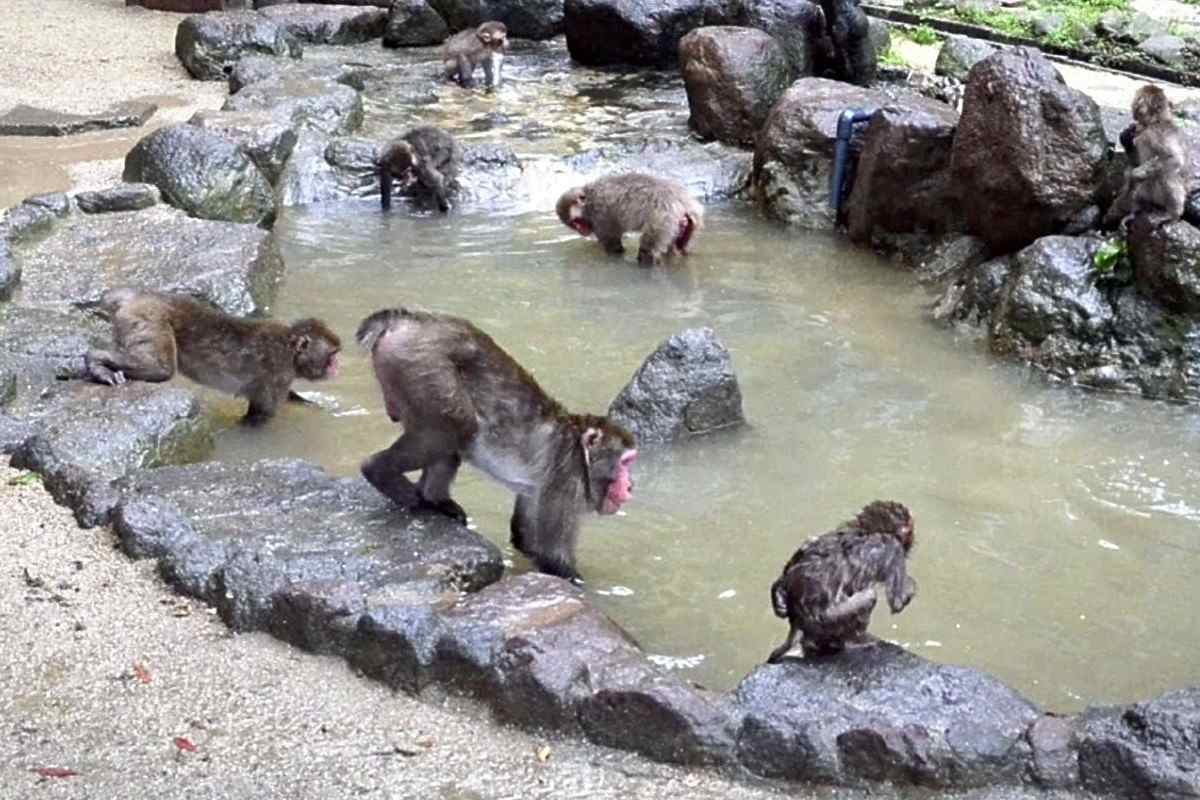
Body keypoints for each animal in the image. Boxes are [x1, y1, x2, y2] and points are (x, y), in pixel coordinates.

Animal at [85, 287, 340, 424]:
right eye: (332, 355)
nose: (337, 367)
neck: (290, 348)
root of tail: (140, 295)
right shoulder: (278, 371)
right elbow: (261, 414)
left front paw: (313, 405)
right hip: (149, 317)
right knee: (161, 369)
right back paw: (95, 360)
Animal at [352, 307, 638, 582]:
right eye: (625, 462)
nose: (630, 486)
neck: (580, 453)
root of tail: (406, 319)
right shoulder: (566, 480)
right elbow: (551, 555)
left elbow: (525, 538)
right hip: (422, 364)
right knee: (456, 426)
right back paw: (382, 474)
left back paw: (435, 500)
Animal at [556, 172, 705, 266]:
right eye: (574, 225)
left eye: (578, 222)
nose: (582, 232)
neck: (590, 198)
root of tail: (681, 200)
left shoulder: (601, 216)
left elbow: (614, 245)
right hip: (688, 220)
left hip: (662, 219)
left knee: (648, 250)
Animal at [768, 501, 916, 662]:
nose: (911, 543)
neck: (866, 530)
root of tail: (798, 623)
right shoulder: (893, 547)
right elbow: (898, 601)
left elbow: (801, 552)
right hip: (829, 620)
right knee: (869, 596)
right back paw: (855, 642)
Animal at [1104, 84, 1190, 231]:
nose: (1133, 108)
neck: (1154, 121)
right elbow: (1136, 161)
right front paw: (1126, 138)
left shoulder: (1157, 133)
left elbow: (1173, 158)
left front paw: (1138, 173)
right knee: (1134, 178)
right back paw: (1136, 209)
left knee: (1166, 175)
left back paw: (1173, 214)